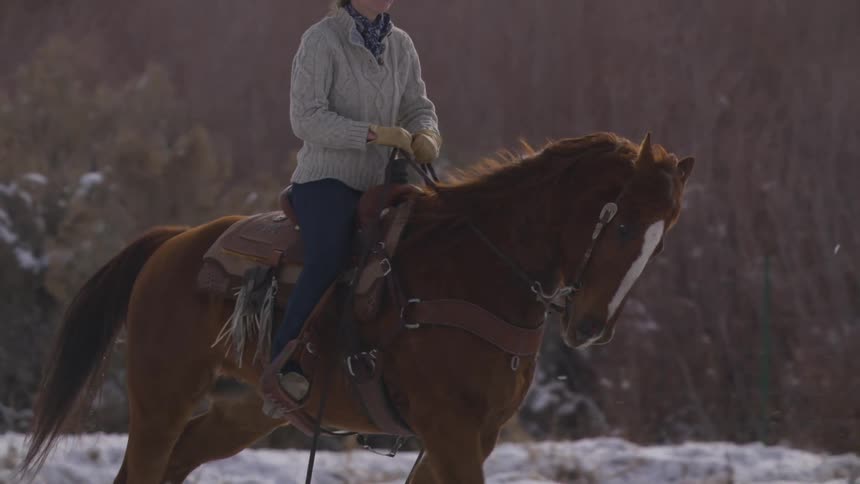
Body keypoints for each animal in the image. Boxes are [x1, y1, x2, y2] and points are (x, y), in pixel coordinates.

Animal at [21, 132, 693, 483]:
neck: (477, 268)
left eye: (663, 240)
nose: (591, 327)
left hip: (243, 413)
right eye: (624, 227)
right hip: (160, 402)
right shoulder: (450, 430)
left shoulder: (472, 436)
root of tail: (173, 243)